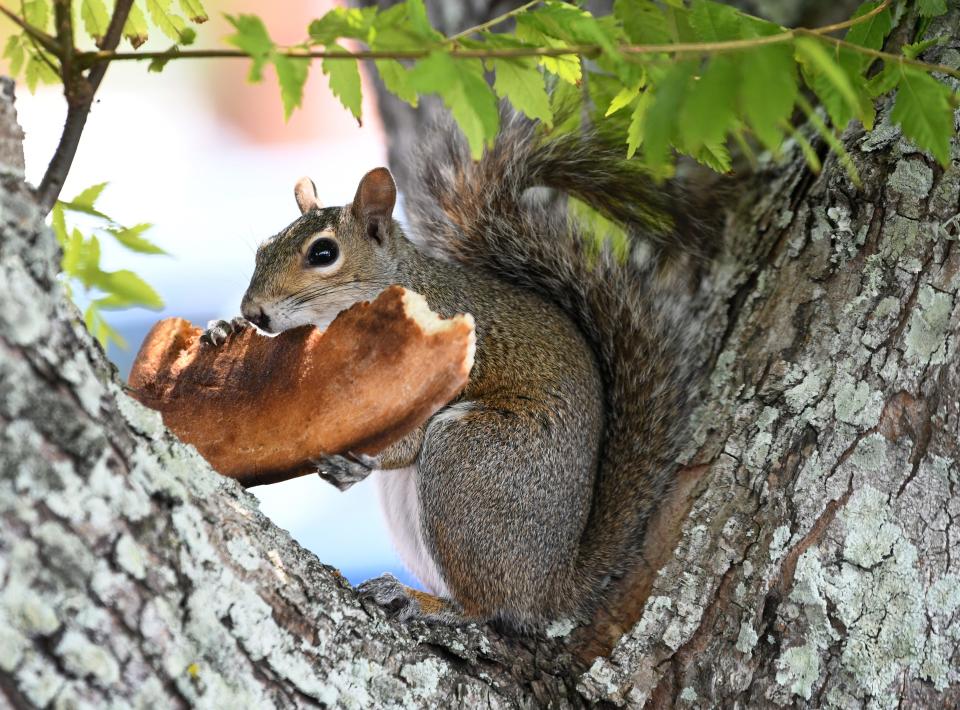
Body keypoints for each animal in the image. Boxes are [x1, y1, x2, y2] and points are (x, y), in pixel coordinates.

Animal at [206, 112, 716, 636]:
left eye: (323, 253)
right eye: (264, 247)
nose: (253, 311)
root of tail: (552, 585)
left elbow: (408, 437)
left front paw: (359, 462)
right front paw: (224, 329)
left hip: (468, 460)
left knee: (486, 606)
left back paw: (425, 601)